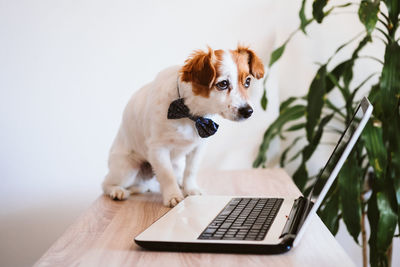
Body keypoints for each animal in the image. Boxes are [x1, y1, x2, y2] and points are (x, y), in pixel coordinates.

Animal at [103, 46, 264, 207]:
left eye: (247, 81)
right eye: (223, 84)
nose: (248, 111)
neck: (190, 114)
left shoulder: (198, 147)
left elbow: (190, 171)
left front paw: (190, 189)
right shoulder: (158, 149)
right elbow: (167, 176)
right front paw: (173, 196)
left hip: (174, 165)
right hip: (127, 170)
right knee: (105, 184)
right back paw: (117, 191)